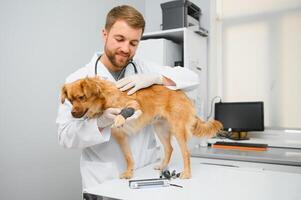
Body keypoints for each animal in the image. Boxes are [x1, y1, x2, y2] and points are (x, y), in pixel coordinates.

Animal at [60, 77, 220, 179]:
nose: (72, 113)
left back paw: (186, 173)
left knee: (186, 152)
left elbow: (126, 110)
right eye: (70, 100)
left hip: (178, 129)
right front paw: (129, 173)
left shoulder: (134, 105)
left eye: (81, 97)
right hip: (160, 128)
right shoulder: (121, 136)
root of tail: (182, 93)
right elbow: (128, 157)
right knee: (169, 148)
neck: (104, 100)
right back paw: (163, 166)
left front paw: (119, 117)